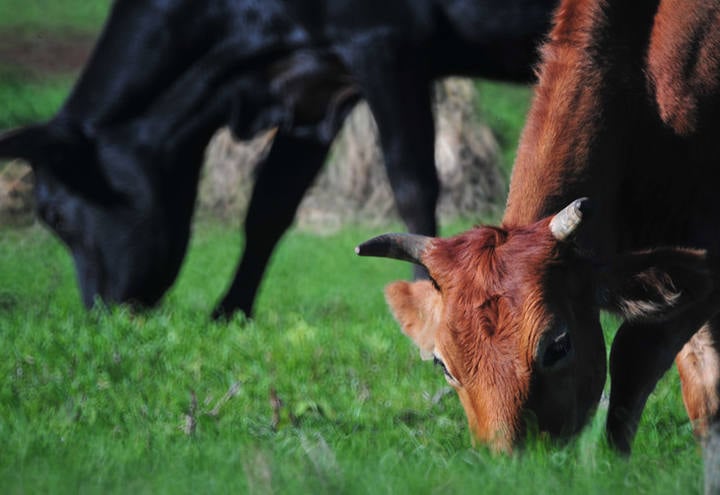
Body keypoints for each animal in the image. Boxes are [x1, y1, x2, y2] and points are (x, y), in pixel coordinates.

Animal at [0, 0, 556, 318]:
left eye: (54, 215)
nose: (100, 311)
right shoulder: (314, 81)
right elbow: (269, 205)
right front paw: (230, 309)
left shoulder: (382, 40)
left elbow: (412, 181)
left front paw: (428, 297)